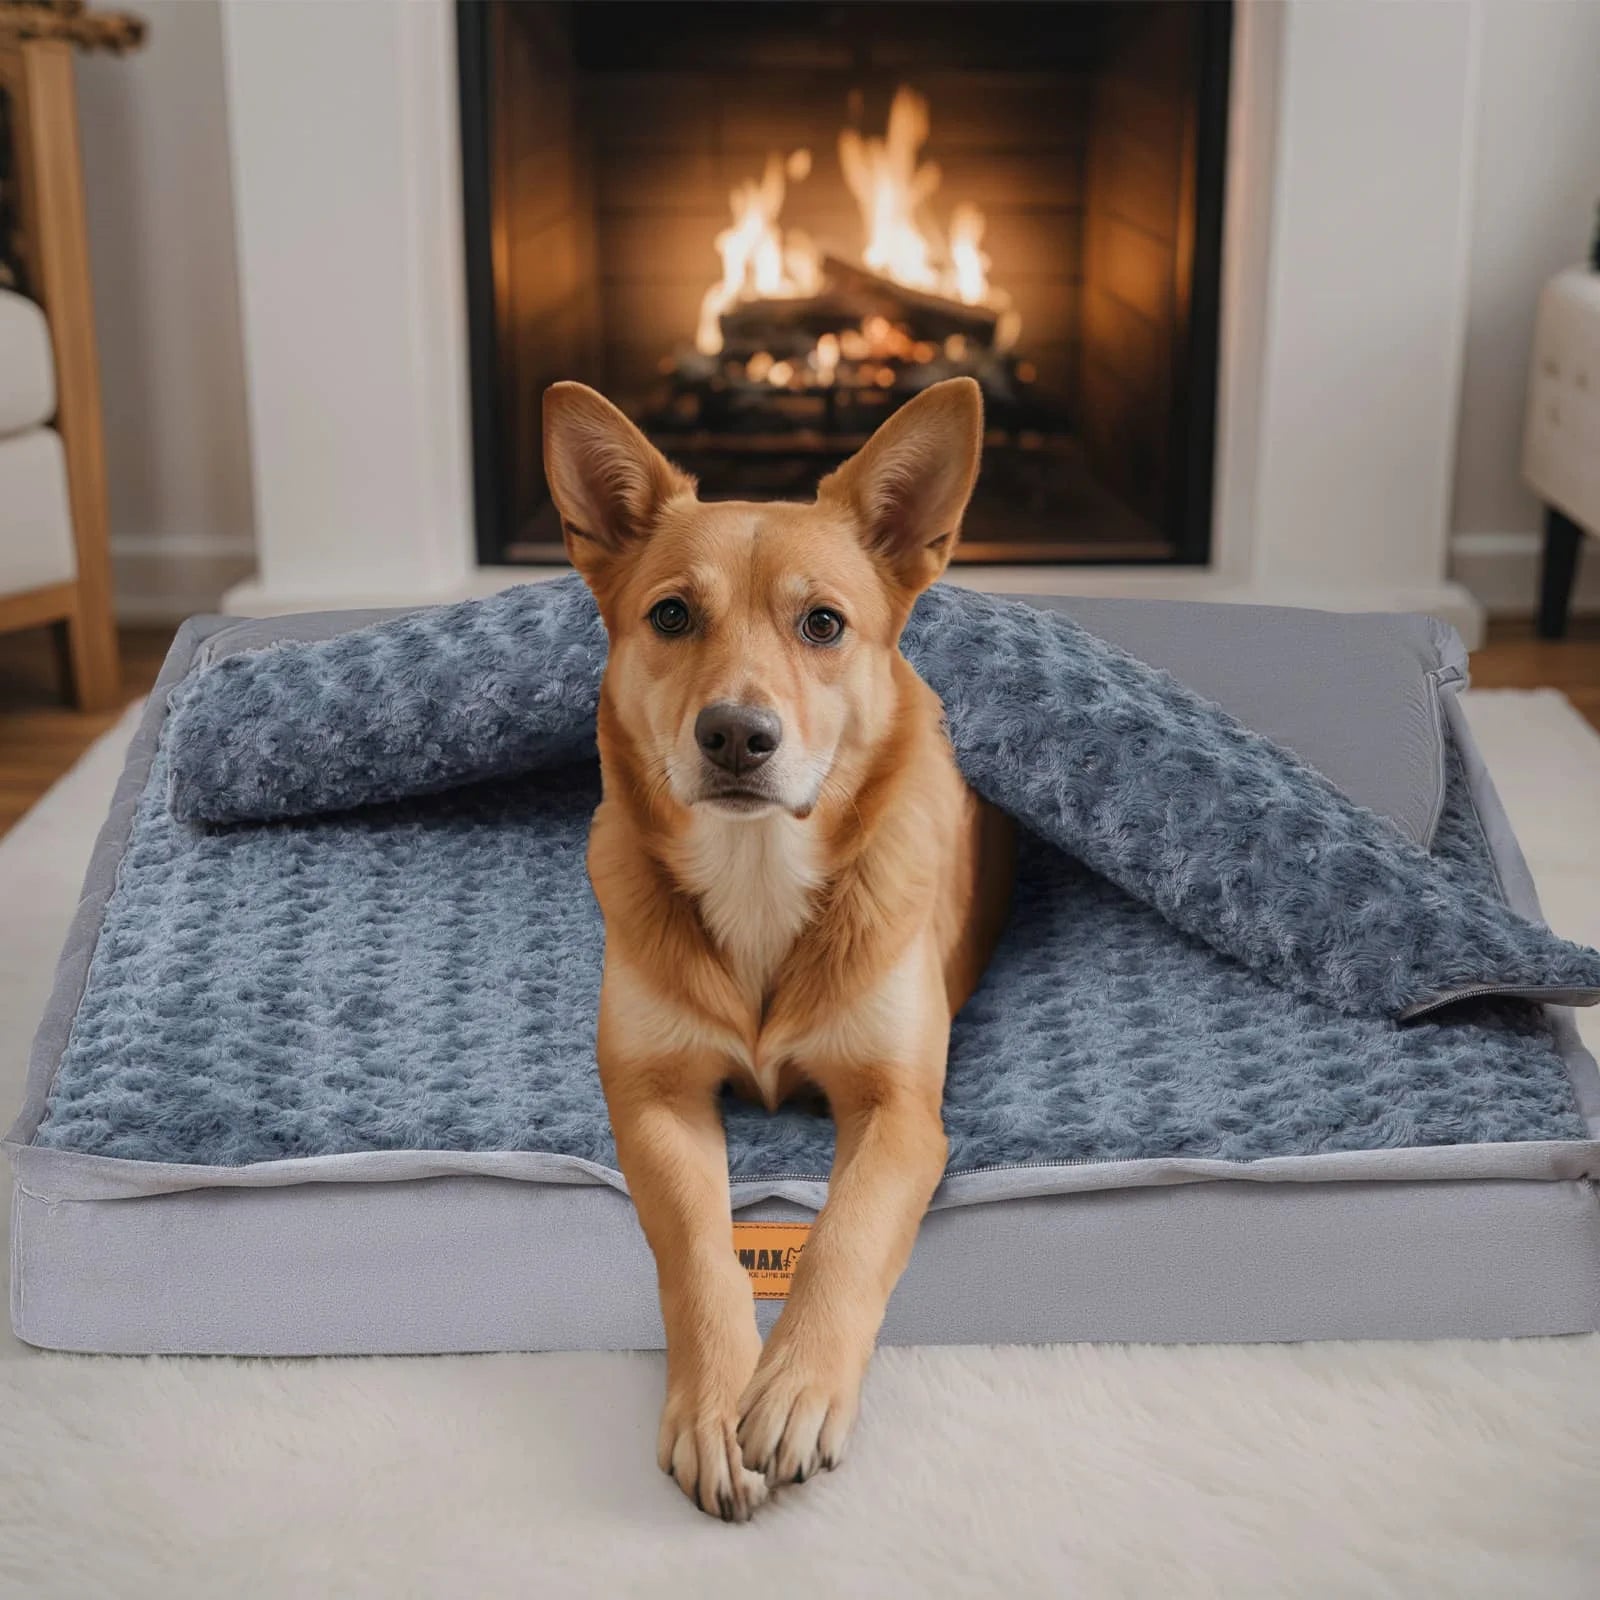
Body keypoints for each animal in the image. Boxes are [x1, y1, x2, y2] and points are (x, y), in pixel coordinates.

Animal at [540, 380, 1011, 1516]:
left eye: (823, 623)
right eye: (671, 614)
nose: (735, 736)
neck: (756, 873)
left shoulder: (901, 1110)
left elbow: (843, 1234)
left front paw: (794, 1386)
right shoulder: (653, 1093)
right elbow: (698, 1246)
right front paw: (717, 1403)